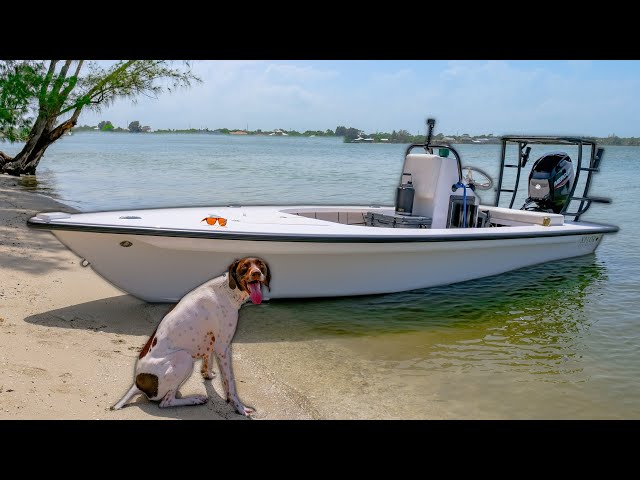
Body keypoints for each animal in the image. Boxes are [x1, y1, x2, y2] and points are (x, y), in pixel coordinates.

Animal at [110, 255, 270, 416]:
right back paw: (194, 399)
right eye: (245, 267)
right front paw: (240, 408)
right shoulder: (223, 347)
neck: (226, 290)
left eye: (260, 265)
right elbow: (229, 384)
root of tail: (137, 383)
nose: (256, 273)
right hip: (184, 358)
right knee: (166, 402)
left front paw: (207, 374)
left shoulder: (210, 340)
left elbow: (207, 360)